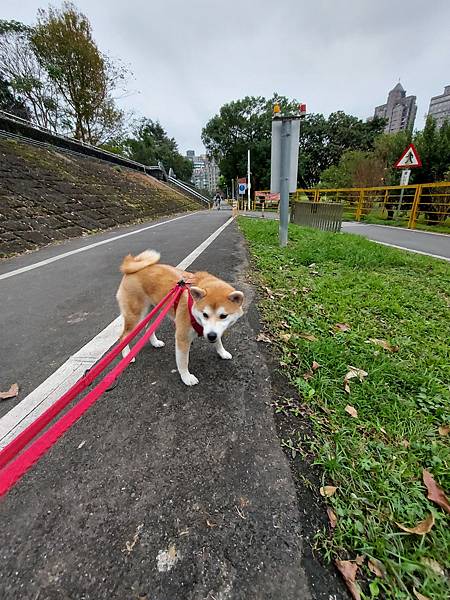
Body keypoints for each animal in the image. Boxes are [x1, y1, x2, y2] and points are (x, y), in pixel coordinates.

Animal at [115, 251, 243, 386]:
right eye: (204, 314)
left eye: (223, 316)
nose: (211, 336)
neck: (192, 304)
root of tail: (131, 267)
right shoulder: (183, 337)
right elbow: (183, 361)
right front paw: (186, 377)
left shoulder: (213, 331)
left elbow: (218, 341)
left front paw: (222, 352)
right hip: (136, 316)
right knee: (124, 336)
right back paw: (127, 355)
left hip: (156, 310)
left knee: (149, 328)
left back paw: (155, 343)